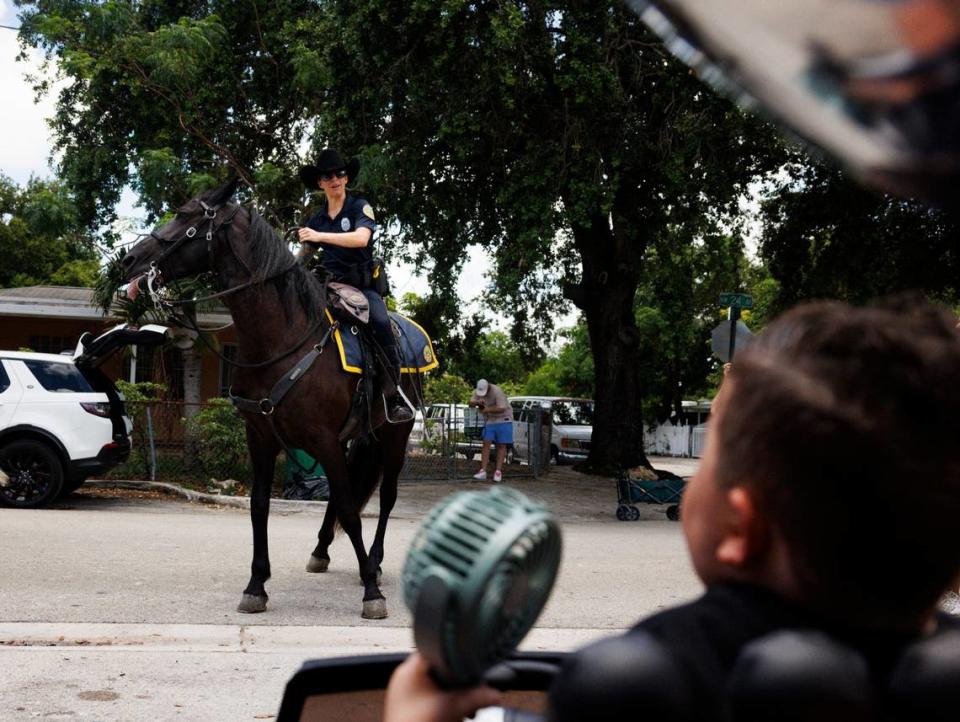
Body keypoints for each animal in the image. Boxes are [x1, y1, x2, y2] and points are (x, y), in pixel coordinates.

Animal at [121, 177, 416, 616]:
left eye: (187, 217)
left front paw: (371, 593)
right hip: (357, 436)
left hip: (395, 434)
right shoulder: (261, 436)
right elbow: (260, 505)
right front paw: (256, 584)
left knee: (387, 497)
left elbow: (350, 510)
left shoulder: (323, 440)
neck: (284, 340)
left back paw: (375, 563)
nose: (130, 260)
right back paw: (321, 552)